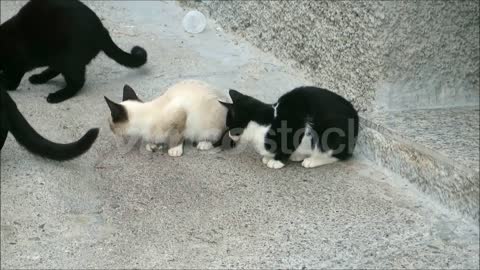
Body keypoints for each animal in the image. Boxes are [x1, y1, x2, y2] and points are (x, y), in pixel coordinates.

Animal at [0, 0, 147, 103]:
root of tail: (101, 29)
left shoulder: (16, 66)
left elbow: (11, 82)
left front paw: (4, 84)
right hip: (58, 57)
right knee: (56, 69)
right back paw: (39, 78)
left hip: (69, 59)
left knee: (77, 82)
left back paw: (56, 96)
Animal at [219, 86, 358, 169]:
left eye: (229, 125)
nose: (229, 134)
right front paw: (269, 157)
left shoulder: (295, 127)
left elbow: (287, 146)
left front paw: (276, 161)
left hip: (330, 136)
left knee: (337, 155)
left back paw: (312, 160)